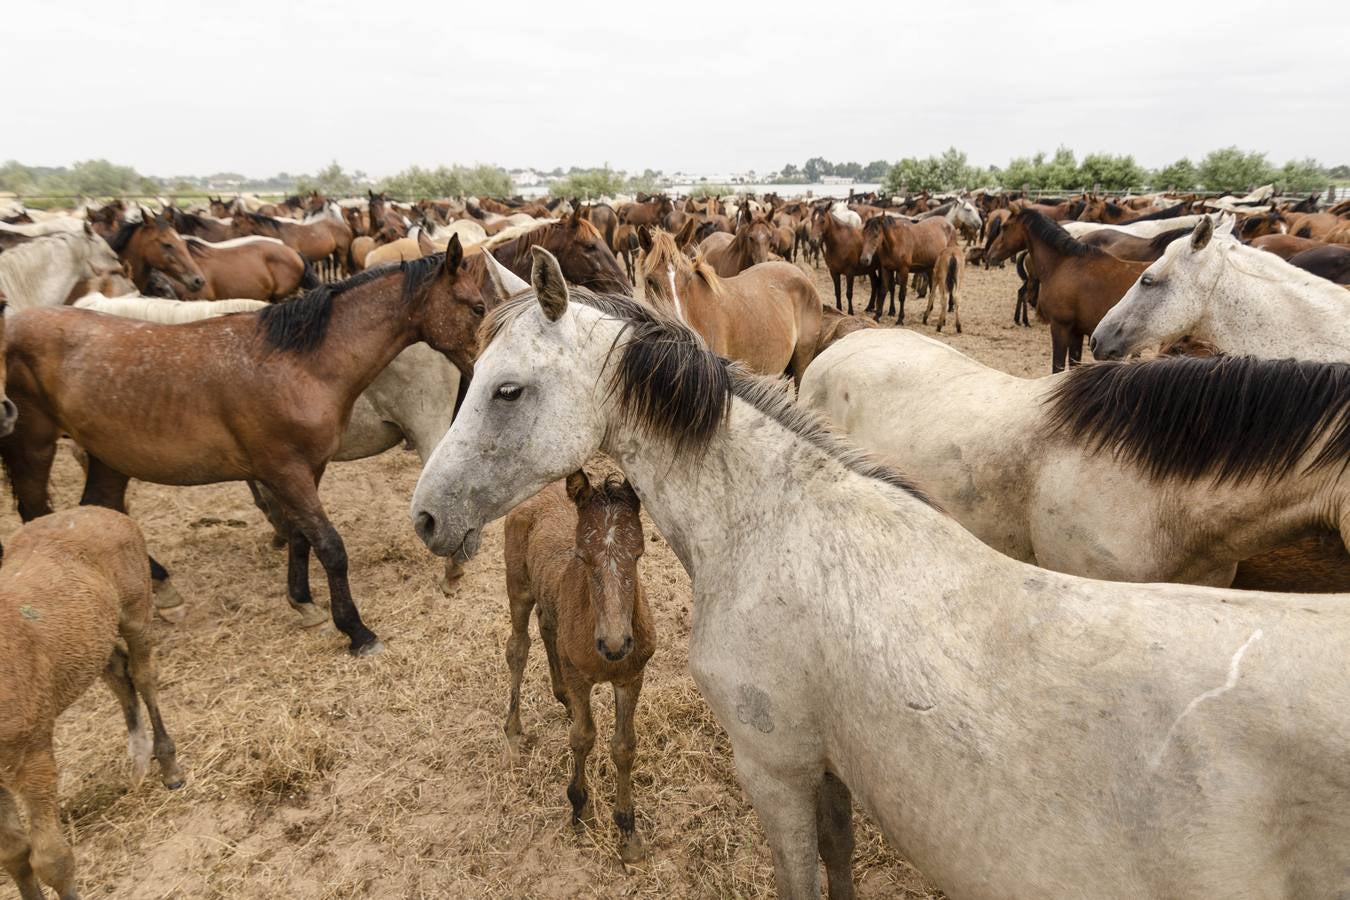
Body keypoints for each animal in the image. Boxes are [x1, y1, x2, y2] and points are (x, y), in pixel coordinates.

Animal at [1, 234, 507, 655]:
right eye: (476, 307)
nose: (487, 370)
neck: (297, 364)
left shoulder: (304, 470)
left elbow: (303, 536)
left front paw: (303, 602)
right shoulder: (285, 469)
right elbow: (330, 546)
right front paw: (356, 630)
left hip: (108, 456)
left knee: (98, 507)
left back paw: (161, 588)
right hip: (34, 446)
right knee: (39, 514)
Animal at [504, 472, 656, 863]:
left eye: (638, 555)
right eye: (582, 556)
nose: (615, 645)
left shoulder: (632, 677)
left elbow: (624, 746)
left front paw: (628, 832)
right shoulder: (579, 676)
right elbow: (583, 737)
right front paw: (580, 806)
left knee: (547, 625)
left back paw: (563, 700)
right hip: (517, 587)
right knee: (518, 647)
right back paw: (513, 733)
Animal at [988, 209, 1144, 372]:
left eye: (1005, 227)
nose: (990, 255)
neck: (1065, 264)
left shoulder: (1060, 327)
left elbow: (1058, 367)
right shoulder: (1076, 332)